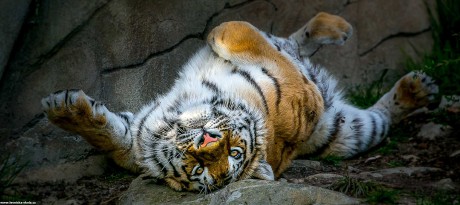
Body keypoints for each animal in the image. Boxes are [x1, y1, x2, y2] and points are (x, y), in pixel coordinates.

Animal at [40, 12, 438, 192]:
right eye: (199, 169)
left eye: (234, 153)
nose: (207, 141)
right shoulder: (137, 136)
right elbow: (109, 135)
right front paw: (65, 110)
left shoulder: (299, 90)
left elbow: (243, 35)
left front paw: (221, 31)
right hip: (345, 129)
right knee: (295, 42)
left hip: (349, 134)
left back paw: (416, 87)